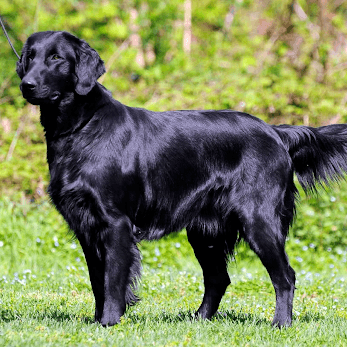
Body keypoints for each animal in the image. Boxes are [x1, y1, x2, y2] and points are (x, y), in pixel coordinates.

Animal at [17, 31, 347, 328]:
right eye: (29, 57)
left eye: (56, 58)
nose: (26, 84)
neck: (82, 128)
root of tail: (275, 132)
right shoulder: (86, 226)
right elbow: (98, 280)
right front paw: (97, 321)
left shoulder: (115, 223)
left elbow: (112, 280)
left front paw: (108, 323)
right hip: (205, 231)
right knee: (218, 278)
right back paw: (198, 320)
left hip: (258, 219)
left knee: (285, 276)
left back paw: (281, 323)